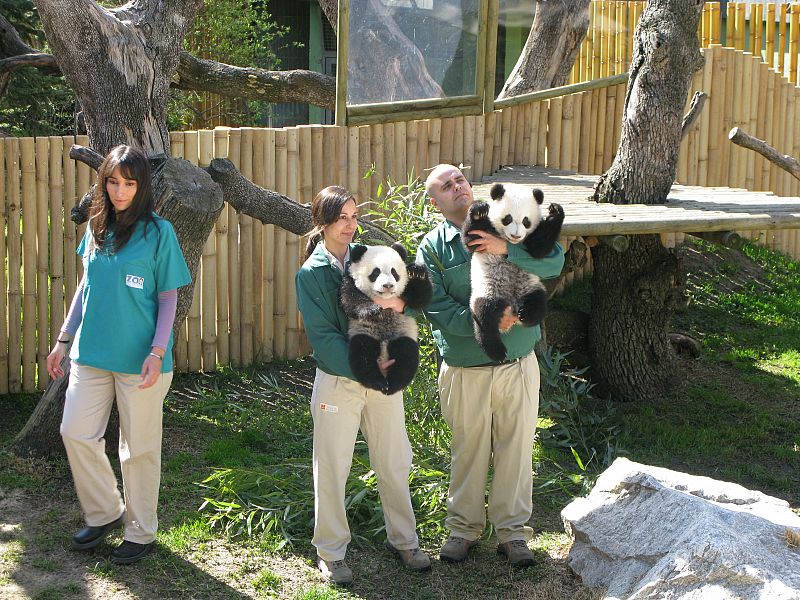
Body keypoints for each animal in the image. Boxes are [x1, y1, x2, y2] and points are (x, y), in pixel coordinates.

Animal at [339, 242, 433, 395]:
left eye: (394, 272)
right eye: (375, 272)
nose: (388, 286)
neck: (384, 299)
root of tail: (384, 346)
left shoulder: (406, 290)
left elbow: (421, 298)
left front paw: (417, 273)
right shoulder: (349, 280)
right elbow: (350, 299)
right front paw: (371, 309)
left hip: (403, 333)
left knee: (406, 353)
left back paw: (394, 384)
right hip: (365, 332)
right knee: (363, 353)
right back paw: (378, 382)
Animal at [461, 182, 564, 363]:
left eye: (526, 221)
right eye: (507, 218)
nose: (516, 235)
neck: (509, 241)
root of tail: (512, 303)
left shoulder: (531, 240)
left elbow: (539, 249)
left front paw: (555, 212)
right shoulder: (487, 232)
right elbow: (471, 238)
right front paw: (478, 210)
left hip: (530, 288)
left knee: (539, 303)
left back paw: (527, 314)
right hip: (489, 291)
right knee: (484, 316)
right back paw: (497, 351)